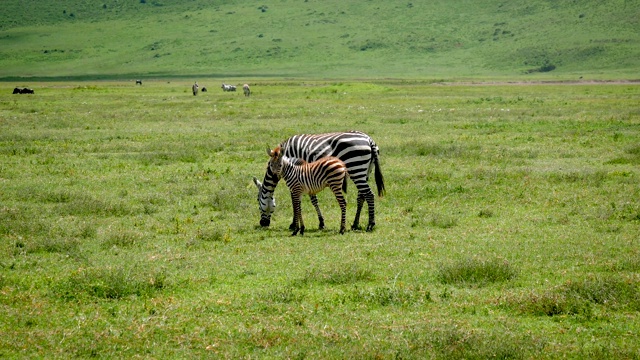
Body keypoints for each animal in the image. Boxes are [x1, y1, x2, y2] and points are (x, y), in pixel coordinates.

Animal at [254, 131, 384, 232]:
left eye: (258, 201)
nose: (262, 224)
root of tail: (369, 140)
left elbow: (298, 200)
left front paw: (294, 224)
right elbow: (310, 199)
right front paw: (320, 222)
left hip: (355, 168)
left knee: (369, 195)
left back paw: (370, 225)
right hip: (364, 172)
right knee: (362, 196)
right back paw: (355, 224)